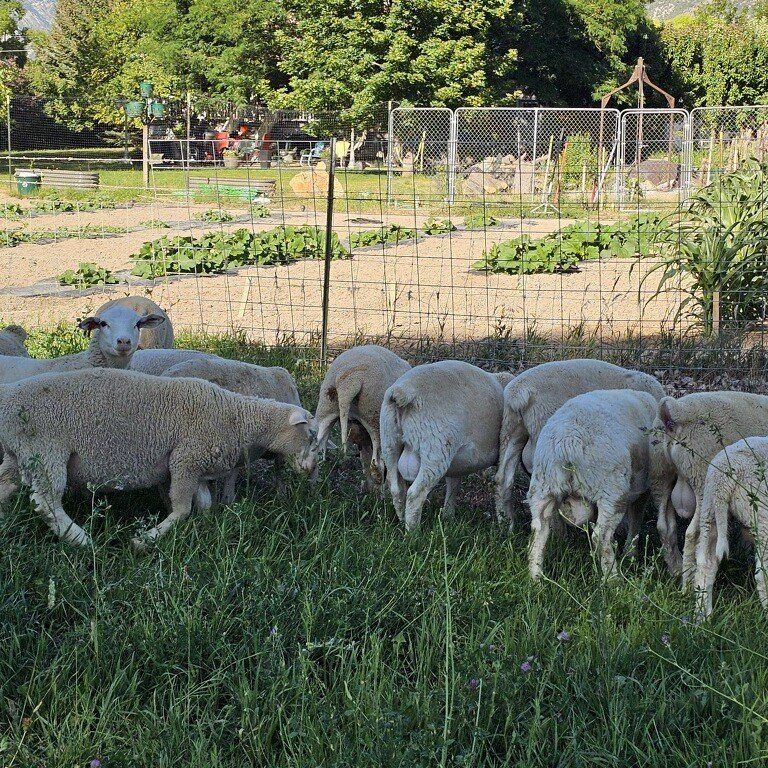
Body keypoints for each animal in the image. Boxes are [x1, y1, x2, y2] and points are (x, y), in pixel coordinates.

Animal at [0, 368, 318, 550]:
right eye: (312, 435)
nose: (311, 470)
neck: (238, 417)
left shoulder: (196, 464)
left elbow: (203, 503)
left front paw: (206, 528)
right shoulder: (185, 459)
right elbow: (182, 507)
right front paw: (146, 539)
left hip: (20, 454)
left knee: (6, 485)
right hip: (43, 450)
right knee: (47, 503)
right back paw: (81, 539)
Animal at [315, 345, 411, 489]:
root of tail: (350, 382)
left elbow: (365, 456)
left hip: (326, 408)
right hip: (375, 416)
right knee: (376, 464)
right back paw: (379, 491)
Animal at [380, 360, 504, 531]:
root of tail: (403, 391)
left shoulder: (457, 460)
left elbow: (453, 484)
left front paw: (448, 516)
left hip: (389, 441)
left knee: (396, 488)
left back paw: (401, 521)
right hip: (436, 448)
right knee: (415, 493)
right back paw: (412, 531)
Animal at [527, 389, 659, 580]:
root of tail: (568, 440)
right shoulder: (642, 490)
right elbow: (636, 520)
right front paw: (631, 555)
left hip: (544, 483)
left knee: (539, 529)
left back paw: (535, 577)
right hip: (611, 490)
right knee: (601, 536)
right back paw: (612, 579)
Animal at [655, 391, 768, 587]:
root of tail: (674, 412)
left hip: (662, 475)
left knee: (664, 526)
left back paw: (676, 571)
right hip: (702, 480)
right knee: (693, 534)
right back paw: (687, 585)